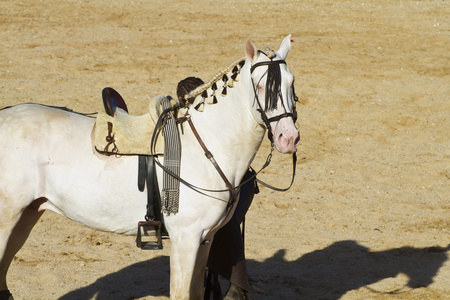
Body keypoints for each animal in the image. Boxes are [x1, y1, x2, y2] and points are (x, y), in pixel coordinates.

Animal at [1, 36, 300, 298]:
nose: (288, 138)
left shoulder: (204, 240)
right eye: (260, 86)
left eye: (291, 83)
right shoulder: (185, 238)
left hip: (28, 214)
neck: (207, 142)